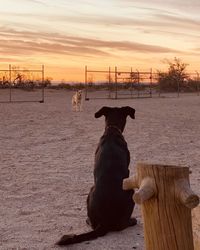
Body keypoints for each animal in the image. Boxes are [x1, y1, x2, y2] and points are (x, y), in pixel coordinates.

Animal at [57, 106, 137, 246]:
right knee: (122, 225)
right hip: (129, 191)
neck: (112, 130)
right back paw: (132, 221)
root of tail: (104, 223)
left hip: (90, 191)